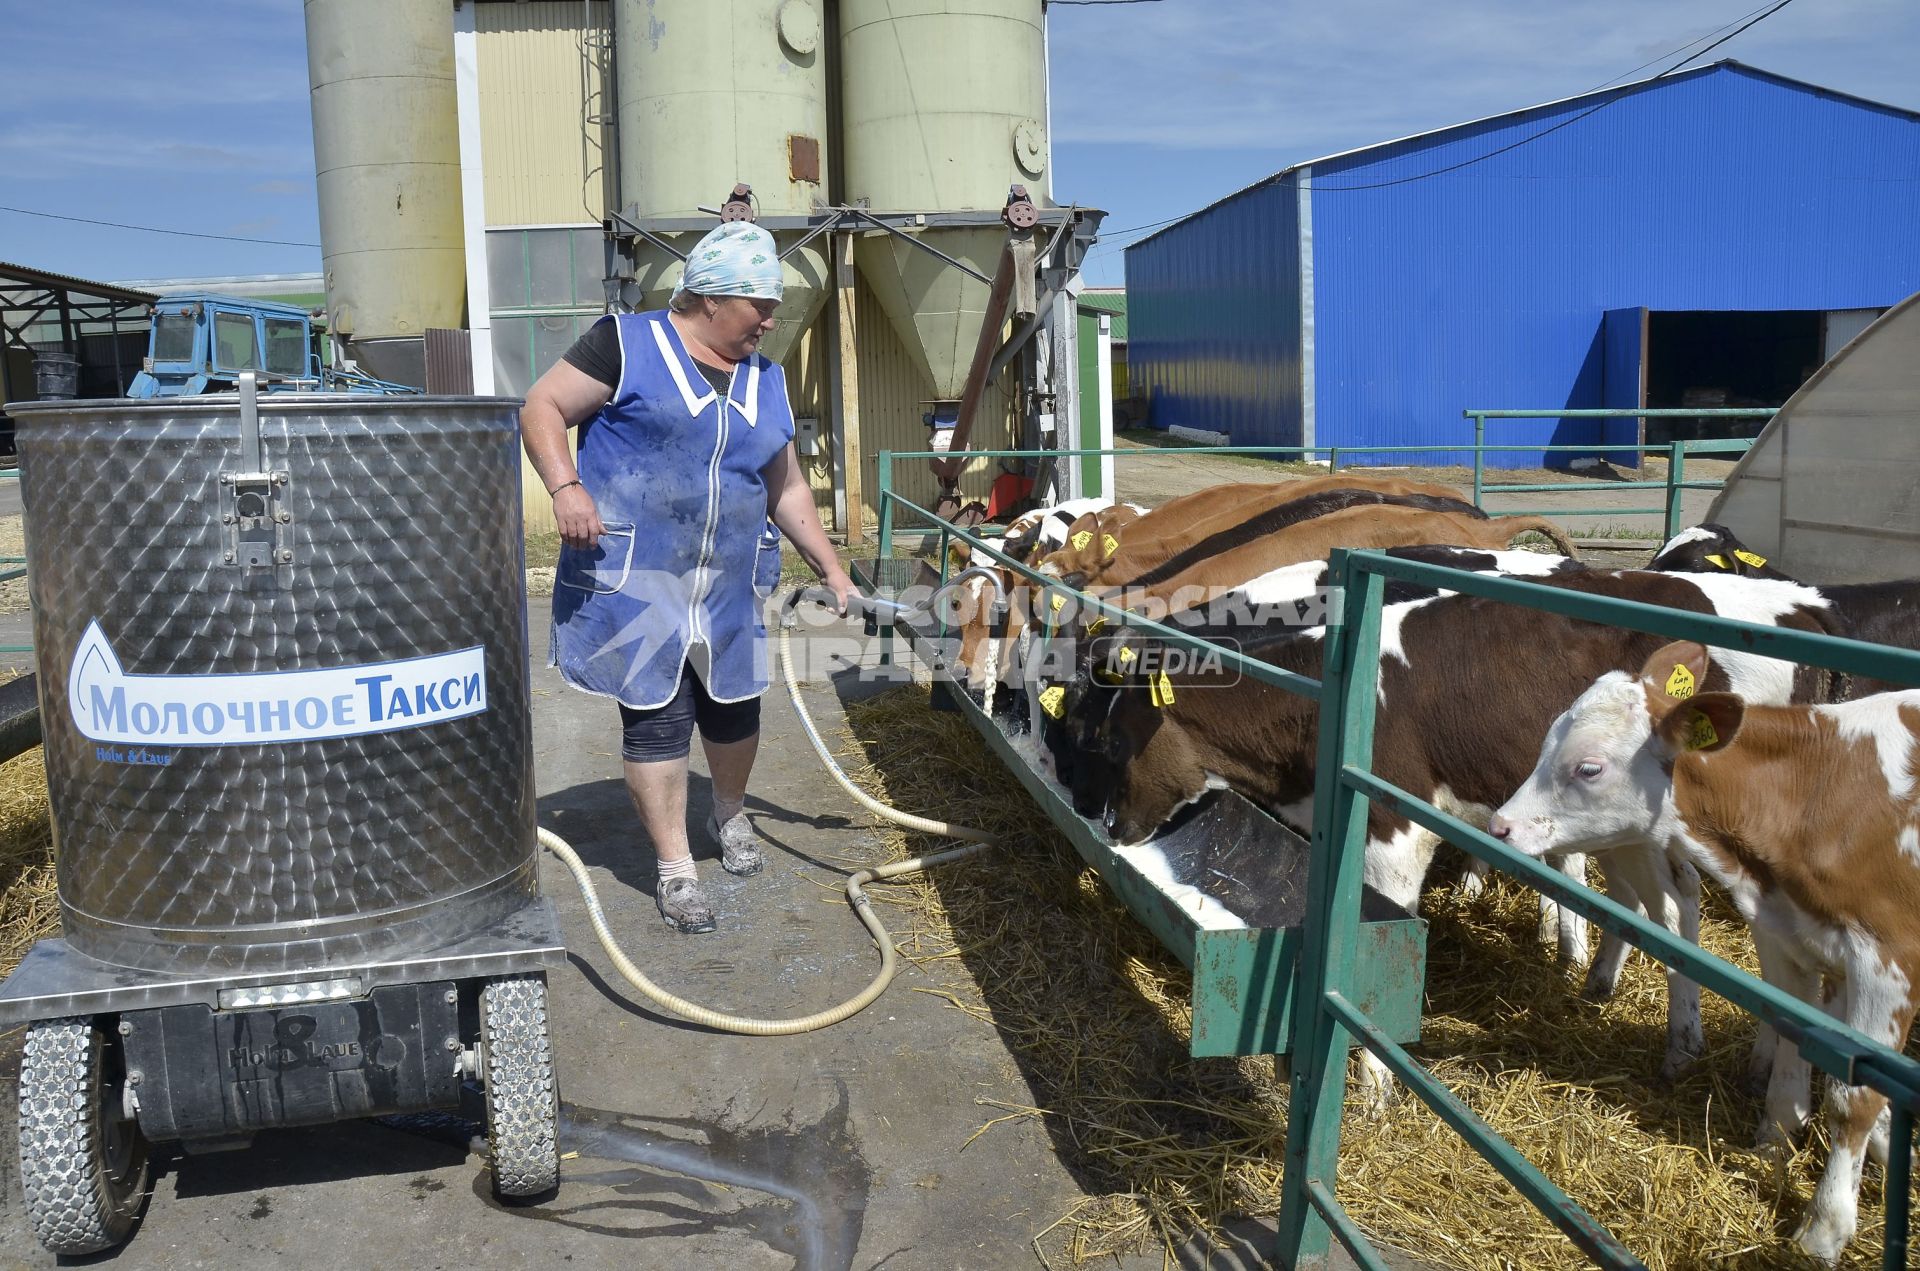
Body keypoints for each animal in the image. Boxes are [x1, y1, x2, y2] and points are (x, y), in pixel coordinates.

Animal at [1489, 641, 1920, 1267]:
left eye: (1589, 768)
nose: (1500, 825)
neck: (1817, 792)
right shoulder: (1786, 935)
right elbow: (1793, 1044)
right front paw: (1773, 1145)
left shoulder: (1886, 963)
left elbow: (1852, 1100)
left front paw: (1824, 1229)